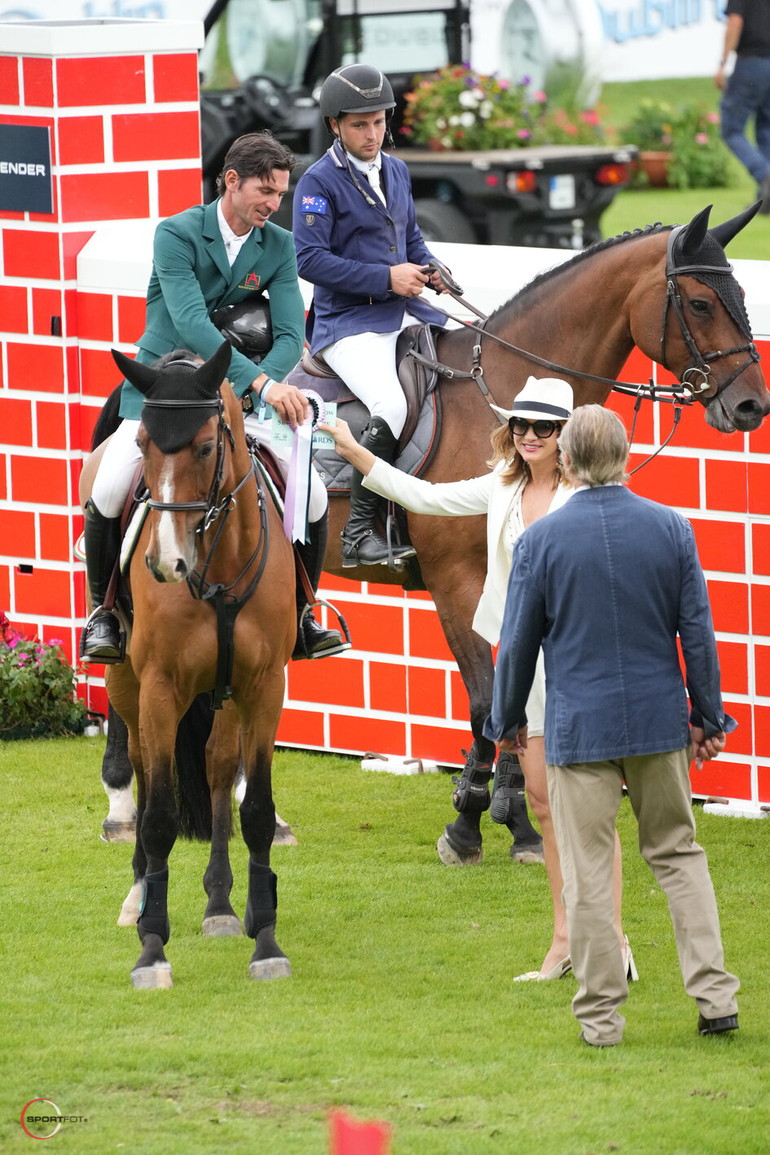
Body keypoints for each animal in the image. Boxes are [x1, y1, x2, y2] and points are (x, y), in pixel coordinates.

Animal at [88, 200, 770, 868]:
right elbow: (484, 700)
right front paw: (474, 820)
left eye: (740, 293)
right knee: (123, 663)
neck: (510, 399)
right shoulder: (456, 582)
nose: (750, 407)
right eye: (701, 303)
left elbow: (513, 694)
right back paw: (122, 804)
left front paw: (511, 818)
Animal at [102, 337, 295, 988]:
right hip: (127, 685)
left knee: (215, 768)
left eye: (207, 447)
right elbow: (160, 815)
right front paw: (151, 950)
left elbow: (255, 810)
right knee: (139, 767)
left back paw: (220, 904)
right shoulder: (161, 689)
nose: (166, 563)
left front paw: (265, 942)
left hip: (226, 695)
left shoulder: (264, 687)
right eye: (142, 444)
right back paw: (137, 896)